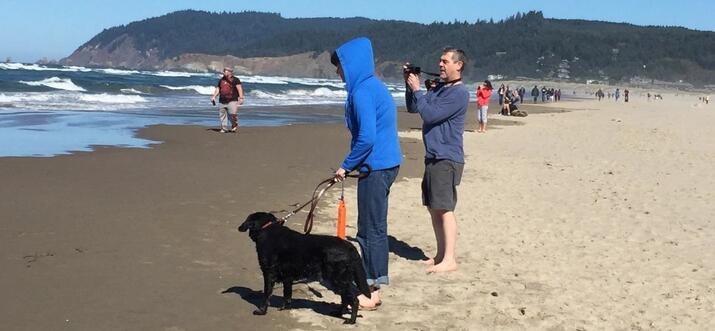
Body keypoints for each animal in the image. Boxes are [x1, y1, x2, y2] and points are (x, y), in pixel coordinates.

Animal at [241, 213, 374, 324]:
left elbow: (266, 294)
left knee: (354, 300)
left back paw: (351, 320)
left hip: (337, 280)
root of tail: (349, 246)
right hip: (339, 282)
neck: (267, 228)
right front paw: (284, 307)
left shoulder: (268, 274)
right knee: (345, 299)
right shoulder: (287, 277)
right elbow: (287, 295)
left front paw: (261, 311)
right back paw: (338, 313)